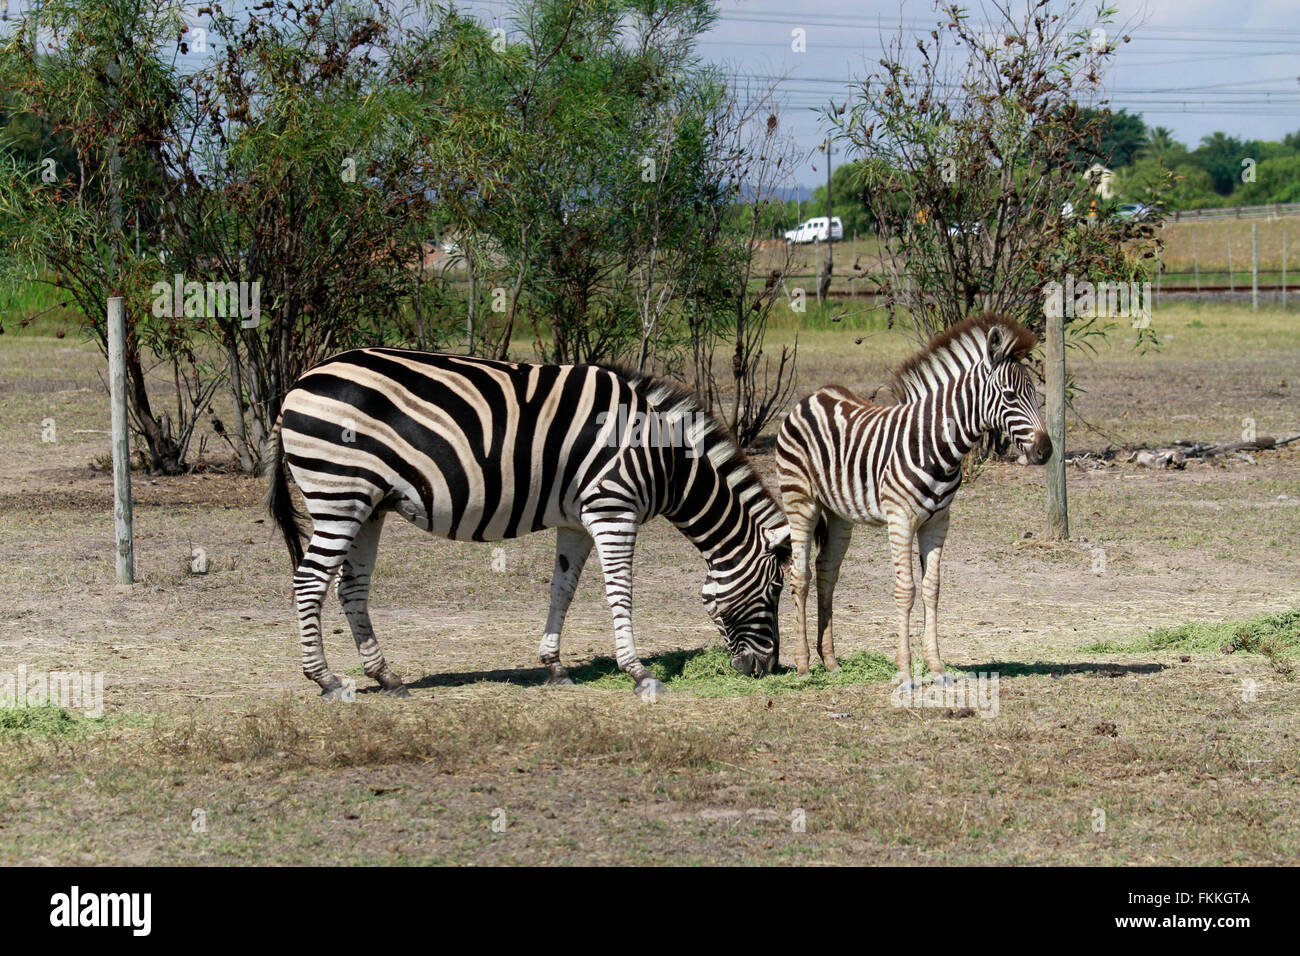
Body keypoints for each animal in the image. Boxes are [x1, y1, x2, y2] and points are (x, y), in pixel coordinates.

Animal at [266, 348, 791, 700]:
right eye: (774, 591)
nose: (766, 668)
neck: (661, 459)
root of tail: (296, 385)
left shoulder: (578, 520)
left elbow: (563, 590)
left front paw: (555, 667)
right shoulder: (613, 508)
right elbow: (620, 592)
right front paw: (639, 672)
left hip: (369, 504)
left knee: (350, 587)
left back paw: (386, 676)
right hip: (338, 494)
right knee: (309, 581)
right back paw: (327, 680)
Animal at [774, 313, 1050, 689]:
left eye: (1034, 395)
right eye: (1009, 395)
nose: (1045, 450)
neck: (938, 444)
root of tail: (813, 396)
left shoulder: (938, 521)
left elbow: (932, 589)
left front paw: (936, 667)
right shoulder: (901, 519)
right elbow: (906, 590)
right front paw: (905, 672)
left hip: (840, 512)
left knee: (826, 570)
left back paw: (830, 661)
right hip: (800, 501)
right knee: (800, 576)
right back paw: (803, 665)